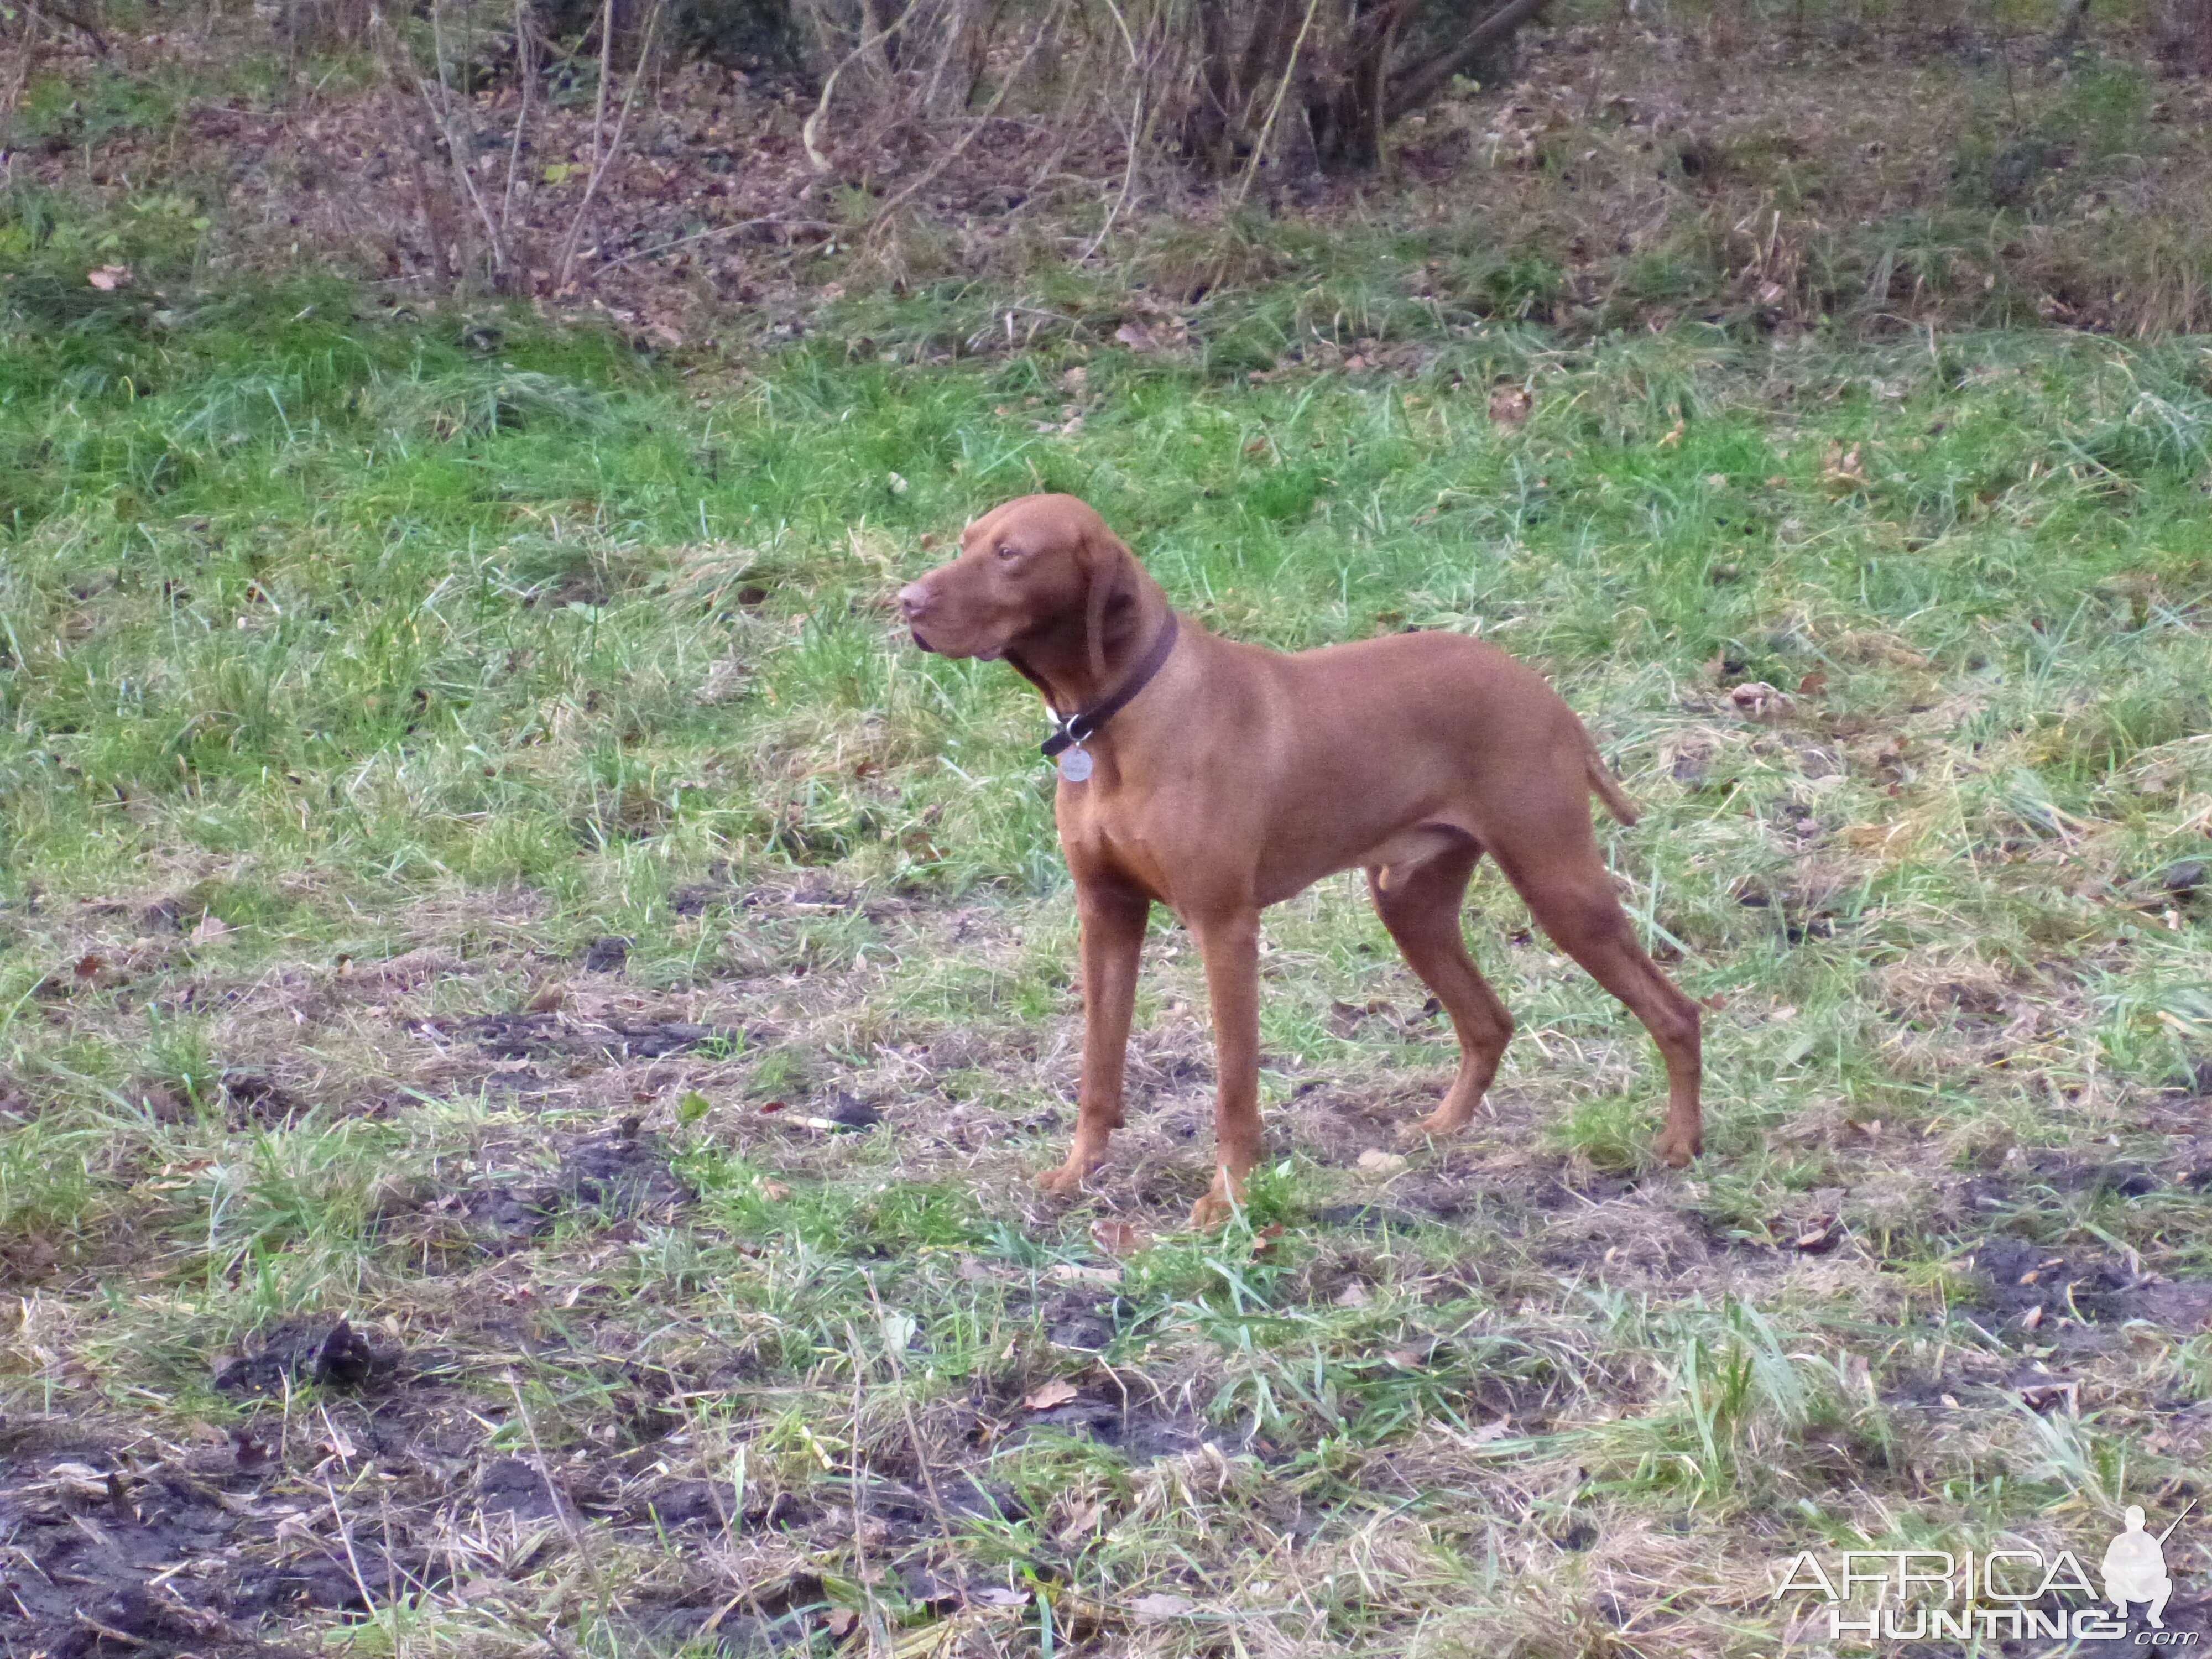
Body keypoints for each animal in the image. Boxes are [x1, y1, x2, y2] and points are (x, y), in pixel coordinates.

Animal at [898, 487, 1708, 1230]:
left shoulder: (1224, 926)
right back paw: (1443, 1130)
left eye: (1010, 554)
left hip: (1558, 886)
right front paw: (1077, 1173)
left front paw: (1226, 1200)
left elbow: (1234, 1085)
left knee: (1676, 1012)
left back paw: (1680, 1145)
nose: (903, 602)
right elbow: (1098, 1066)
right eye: (967, 540)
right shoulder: (1106, 916)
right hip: (1409, 902)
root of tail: (1541, 689)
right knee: (1488, 1022)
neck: (1120, 722)